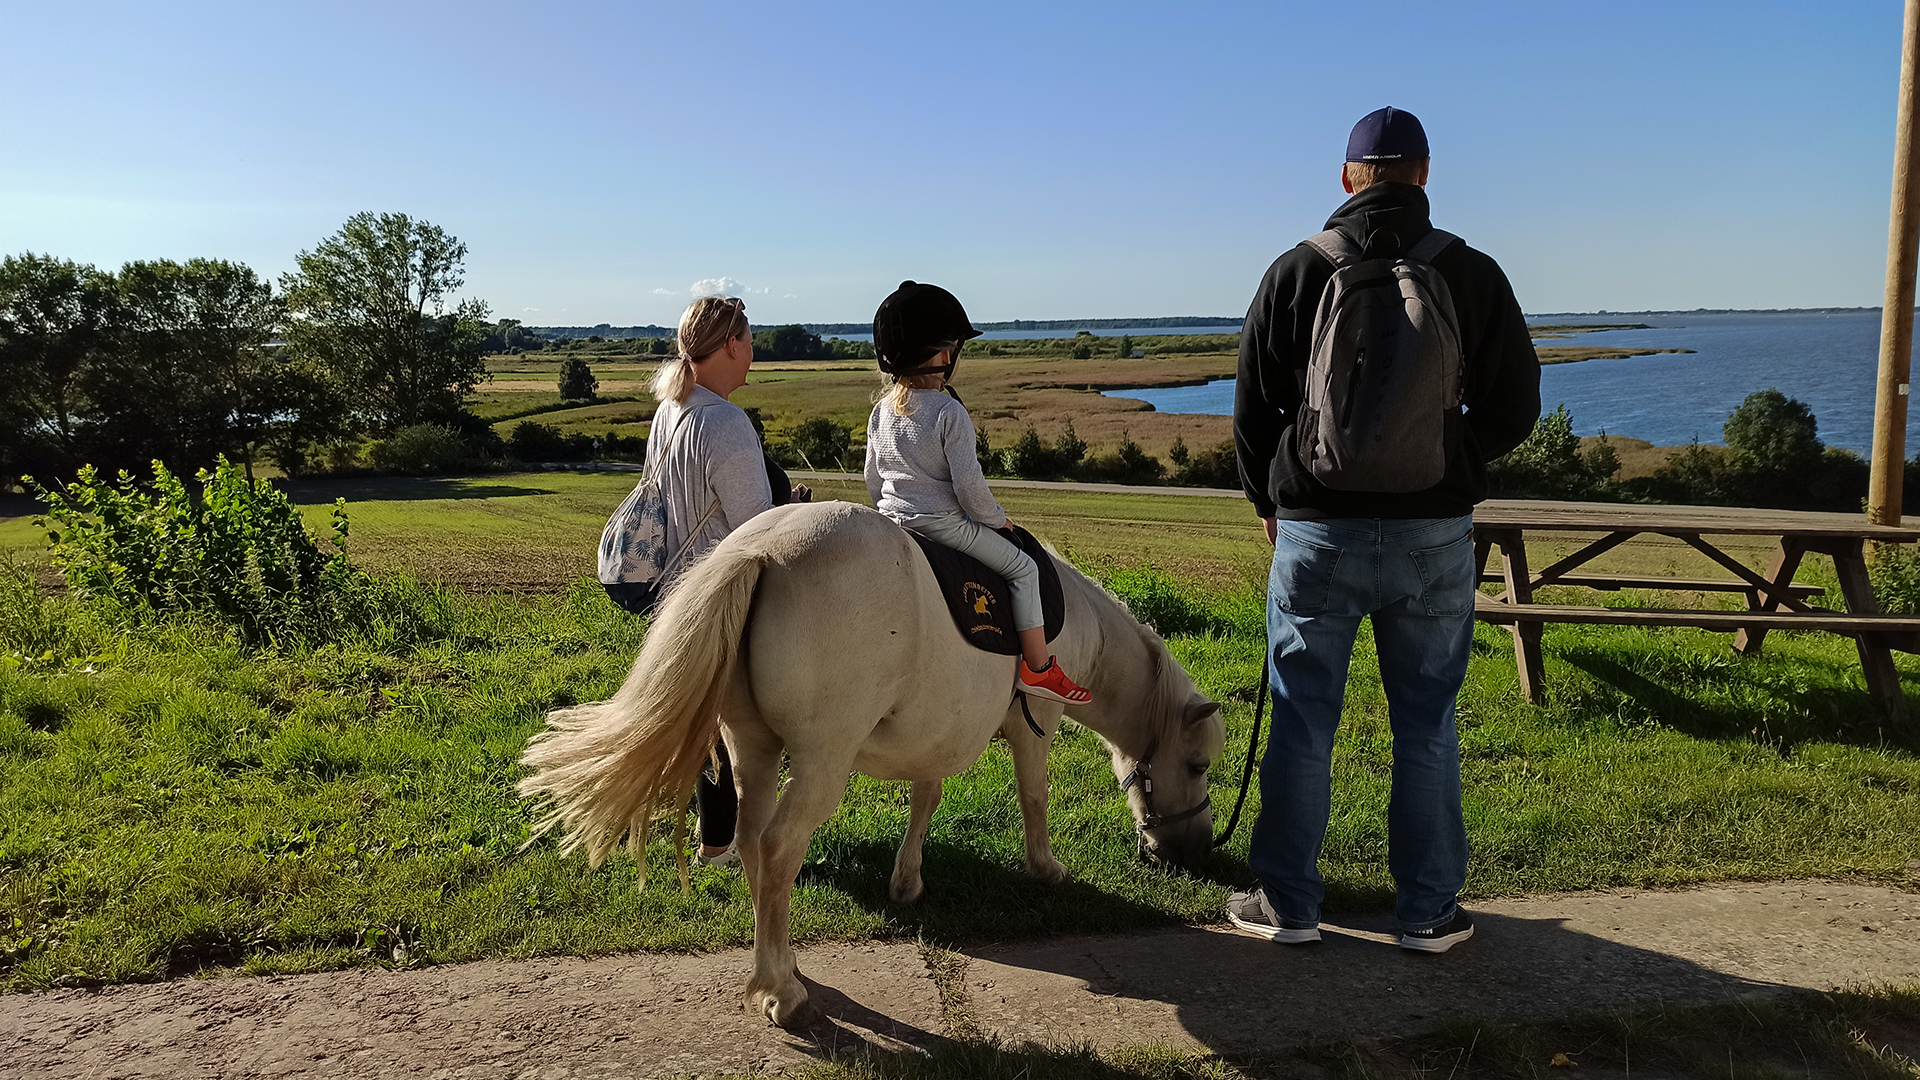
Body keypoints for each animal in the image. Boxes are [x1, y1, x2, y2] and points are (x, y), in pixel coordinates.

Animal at [518, 501, 1225, 1027]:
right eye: (1198, 766)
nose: (1193, 850)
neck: (1073, 620)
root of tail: (758, 552)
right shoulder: (1038, 723)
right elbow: (1034, 796)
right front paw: (1045, 869)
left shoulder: (937, 731)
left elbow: (926, 798)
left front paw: (907, 881)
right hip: (822, 759)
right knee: (779, 845)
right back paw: (782, 992)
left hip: (754, 746)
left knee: (751, 839)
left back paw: (782, 963)